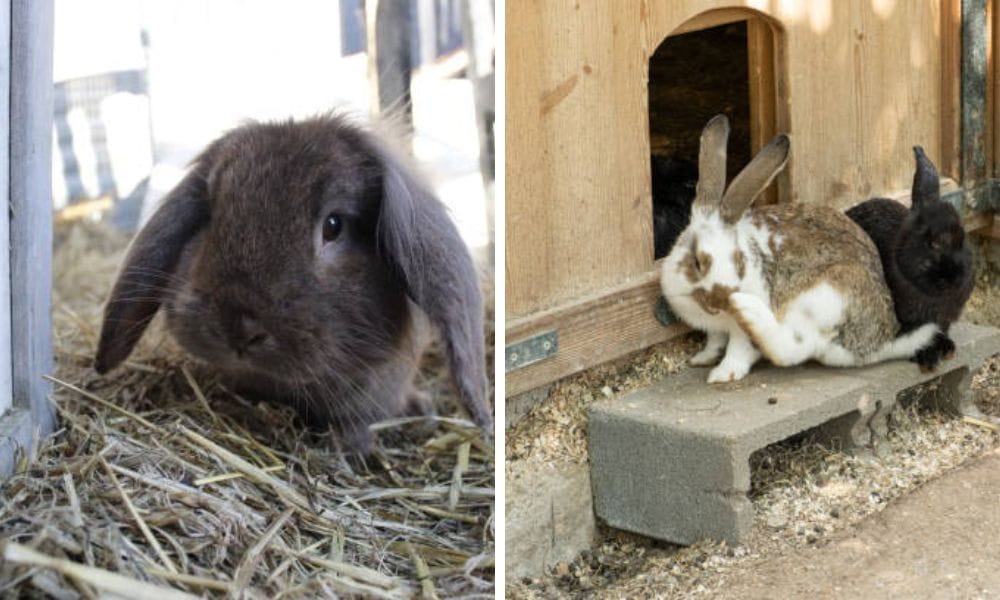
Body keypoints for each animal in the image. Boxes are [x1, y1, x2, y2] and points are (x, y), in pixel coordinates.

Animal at [660, 115, 938, 384]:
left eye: (739, 262)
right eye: (697, 262)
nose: (720, 301)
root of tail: (876, 346)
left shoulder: (739, 331)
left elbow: (739, 350)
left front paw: (722, 375)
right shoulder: (715, 328)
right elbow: (715, 341)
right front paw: (702, 359)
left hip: (823, 296)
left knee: (792, 348)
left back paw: (747, 308)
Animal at [846, 146, 975, 372]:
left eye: (962, 238)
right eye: (932, 243)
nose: (952, 278)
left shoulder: (943, 319)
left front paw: (947, 349)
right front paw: (928, 359)